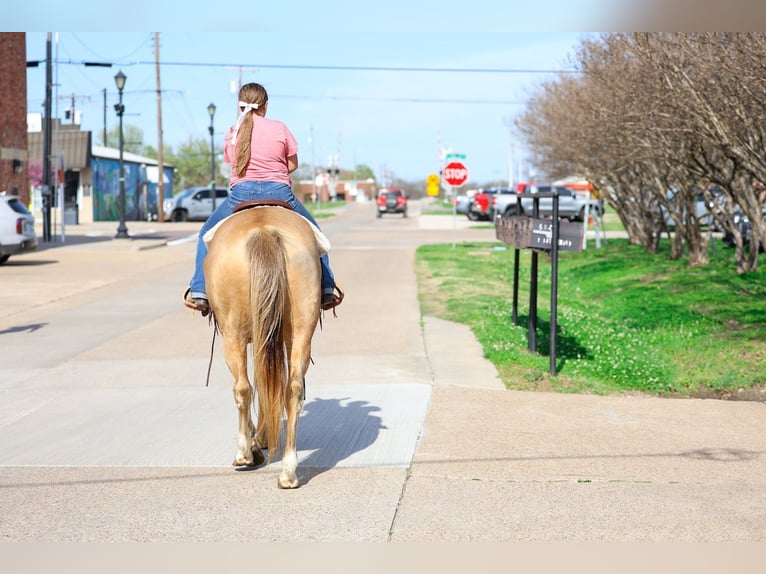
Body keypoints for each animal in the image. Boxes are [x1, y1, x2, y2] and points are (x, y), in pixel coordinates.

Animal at [204, 204, 323, 489]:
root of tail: (264, 231)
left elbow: (255, 384)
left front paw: (256, 444)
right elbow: (268, 384)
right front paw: (264, 437)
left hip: (232, 333)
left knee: (242, 388)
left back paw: (244, 453)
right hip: (301, 328)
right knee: (293, 389)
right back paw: (288, 471)